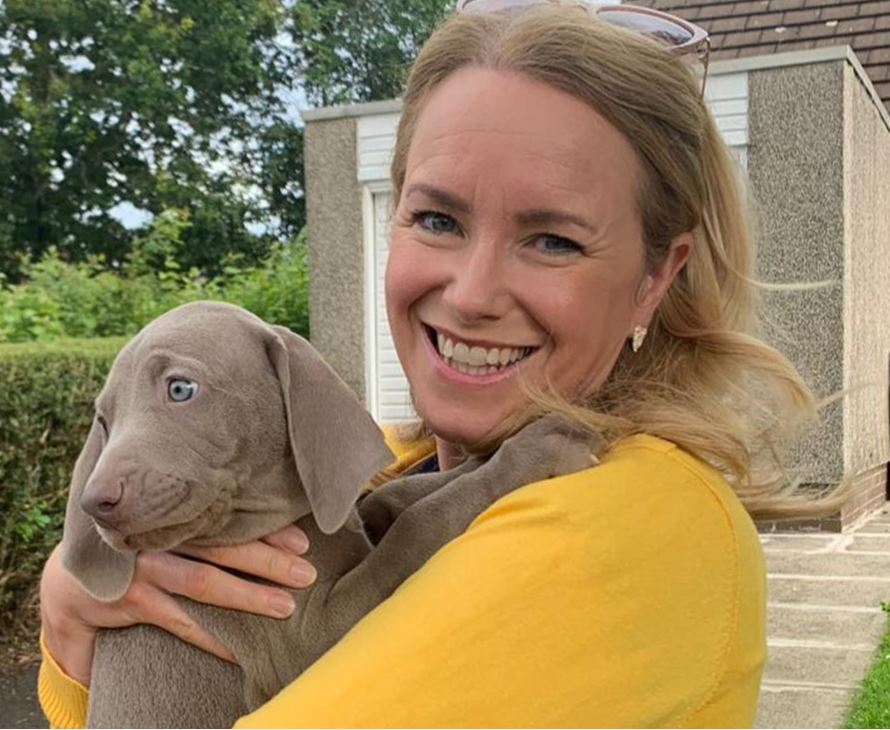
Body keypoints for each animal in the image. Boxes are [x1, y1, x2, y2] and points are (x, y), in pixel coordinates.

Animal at [60, 298, 596, 724]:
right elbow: (414, 527)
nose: (96, 502)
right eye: (105, 420)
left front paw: (494, 452)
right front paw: (535, 450)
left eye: (180, 389)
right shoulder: (308, 641)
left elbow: (390, 500)